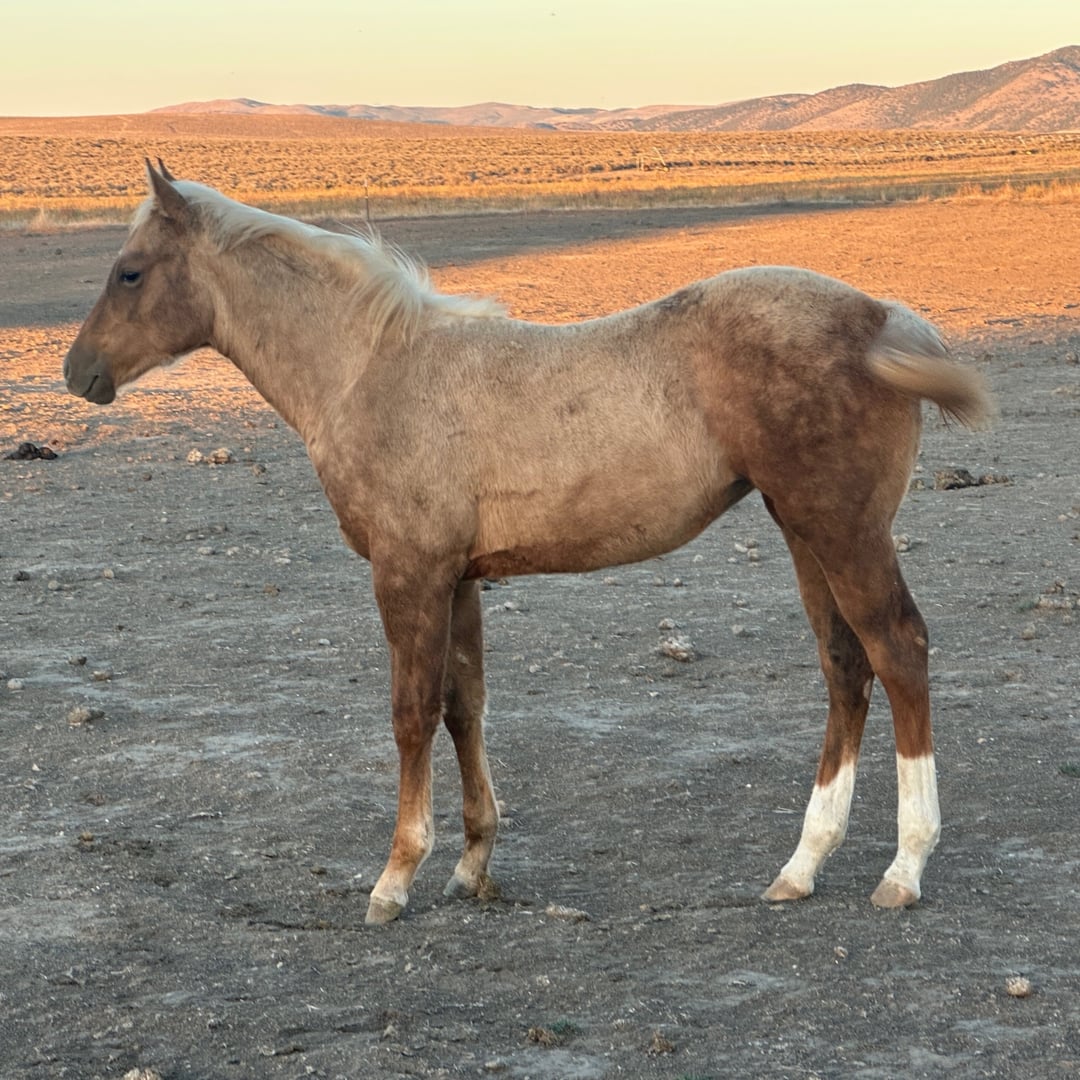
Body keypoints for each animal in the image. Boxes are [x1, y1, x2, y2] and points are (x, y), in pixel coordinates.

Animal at [64, 162, 993, 924]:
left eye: (130, 271)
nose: (77, 373)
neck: (374, 371)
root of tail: (881, 318)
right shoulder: (460, 578)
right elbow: (462, 706)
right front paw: (473, 864)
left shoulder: (409, 575)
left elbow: (410, 714)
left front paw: (396, 877)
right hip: (804, 531)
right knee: (846, 667)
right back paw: (802, 865)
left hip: (842, 531)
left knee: (897, 650)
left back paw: (904, 868)